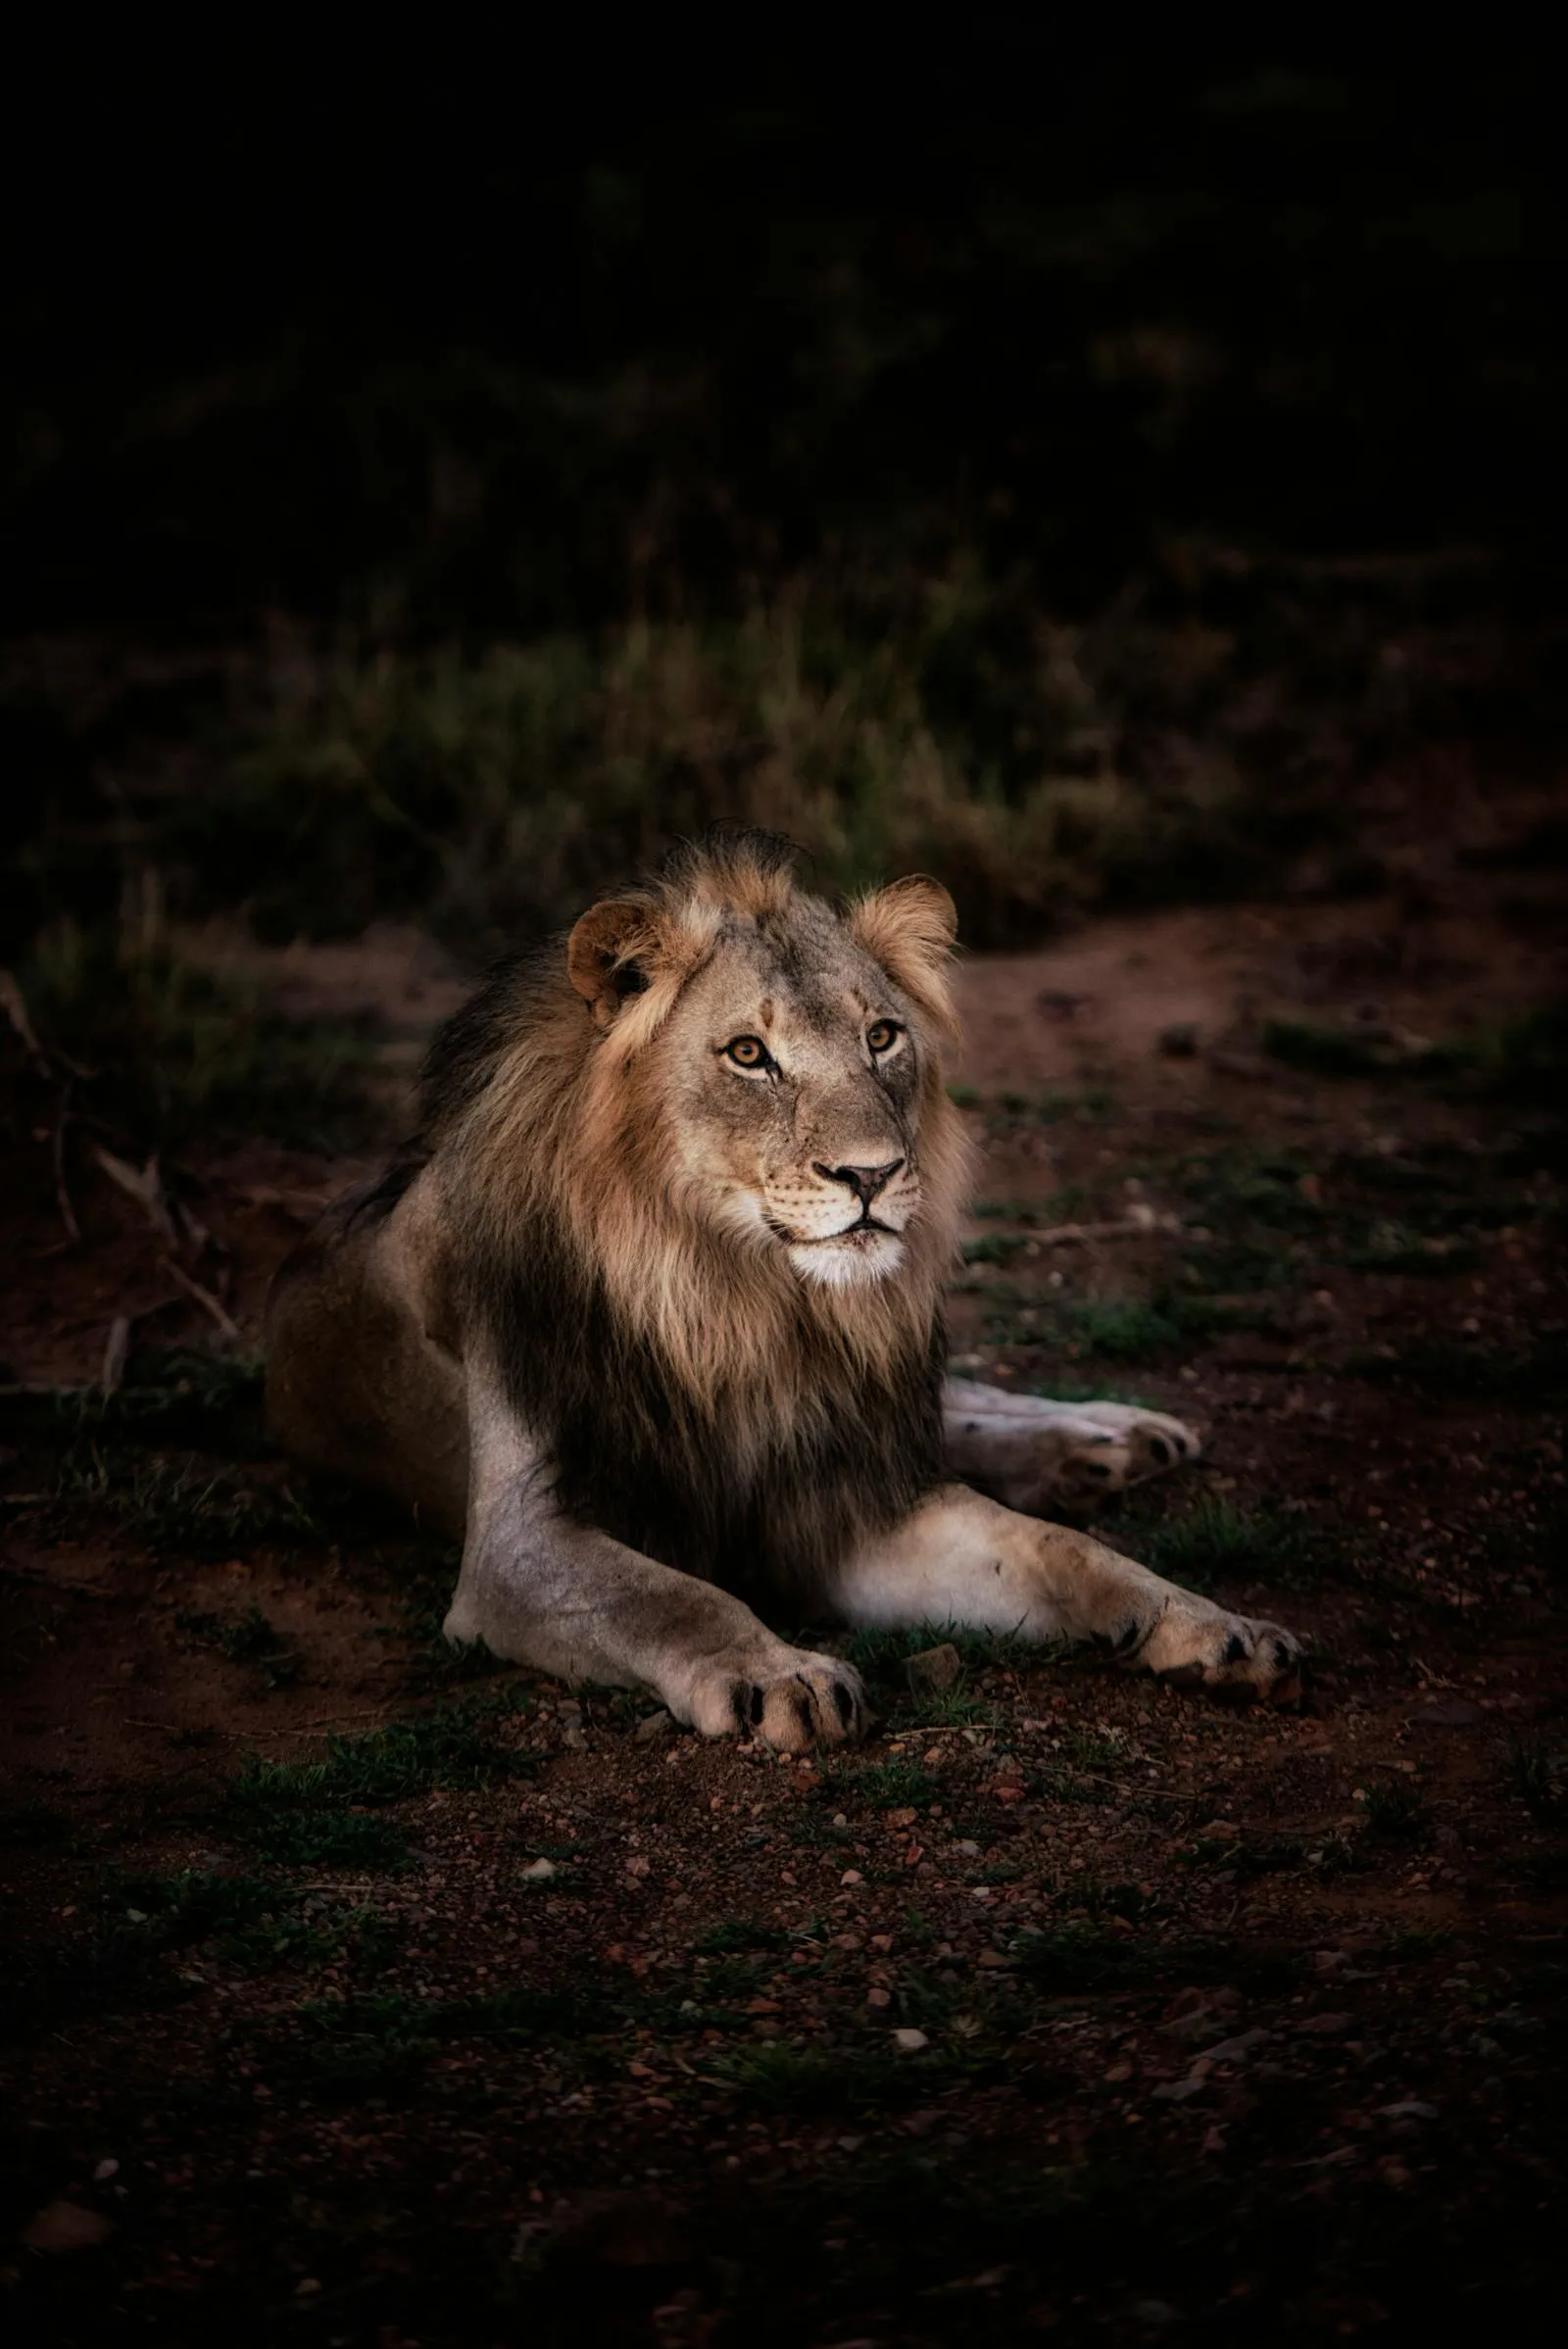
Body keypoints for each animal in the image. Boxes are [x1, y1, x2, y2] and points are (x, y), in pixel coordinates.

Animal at [265, 831, 1302, 1751]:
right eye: (748, 1054)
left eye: (882, 1036)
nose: (872, 1174)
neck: (744, 1304)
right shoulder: (520, 1547)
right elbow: (680, 1598)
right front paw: (784, 1674)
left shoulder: (845, 1497)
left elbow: (1062, 1549)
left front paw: (1209, 1622)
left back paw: (1111, 1435)